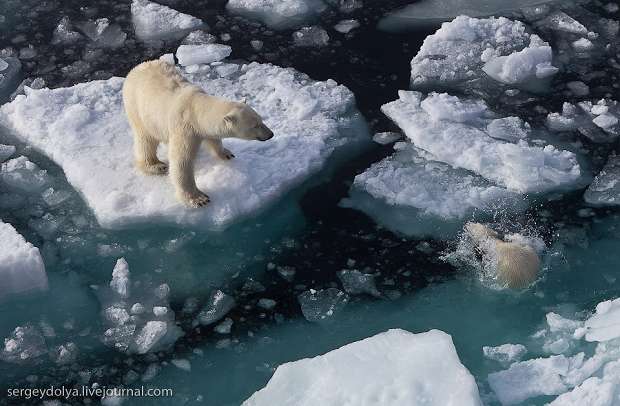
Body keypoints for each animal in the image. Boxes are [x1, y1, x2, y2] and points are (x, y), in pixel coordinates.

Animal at [122, 59, 272, 209]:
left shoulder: (201, 130)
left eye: (260, 119)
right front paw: (199, 199)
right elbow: (181, 162)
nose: (270, 134)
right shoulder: (184, 127)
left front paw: (226, 153)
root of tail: (135, 69)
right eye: (255, 125)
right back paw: (156, 166)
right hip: (137, 108)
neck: (195, 108)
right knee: (145, 139)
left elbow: (213, 139)